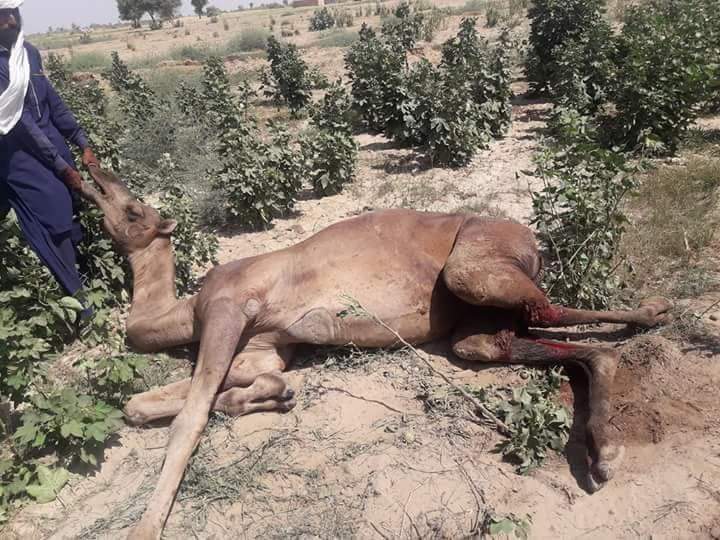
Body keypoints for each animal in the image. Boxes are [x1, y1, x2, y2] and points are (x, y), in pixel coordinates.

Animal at [78, 165, 671, 539]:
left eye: (132, 208)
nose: (83, 168)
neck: (189, 307)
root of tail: (532, 240)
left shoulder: (228, 307)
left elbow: (190, 419)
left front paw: (144, 527)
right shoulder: (261, 350)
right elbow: (146, 404)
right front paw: (275, 396)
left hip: (475, 263)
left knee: (545, 309)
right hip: (476, 325)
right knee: (531, 339)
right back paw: (609, 427)